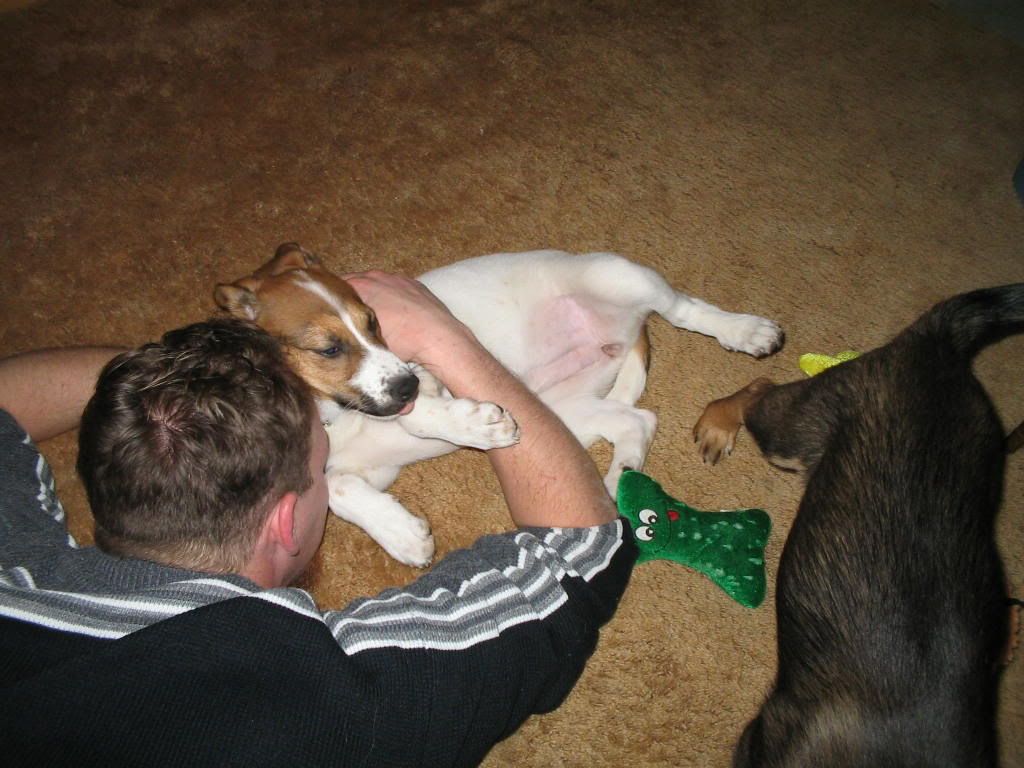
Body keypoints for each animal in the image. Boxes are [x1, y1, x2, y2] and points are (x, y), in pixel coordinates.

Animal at [216, 243, 783, 565]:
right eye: (329, 349)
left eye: (374, 320)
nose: (404, 386)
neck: (336, 415)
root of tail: (625, 330)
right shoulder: (371, 468)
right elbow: (337, 489)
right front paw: (402, 536)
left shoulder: (425, 367)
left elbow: (420, 417)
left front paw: (475, 425)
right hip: (564, 407)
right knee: (637, 420)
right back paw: (615, 481)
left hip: (619, 275)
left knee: (686, 309)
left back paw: (745, 330)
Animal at [693, 284, 1024, 767]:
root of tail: (935, 344)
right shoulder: (763, 738)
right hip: (795, 429)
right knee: (759, 389)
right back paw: (717, 424)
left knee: (762, 388)